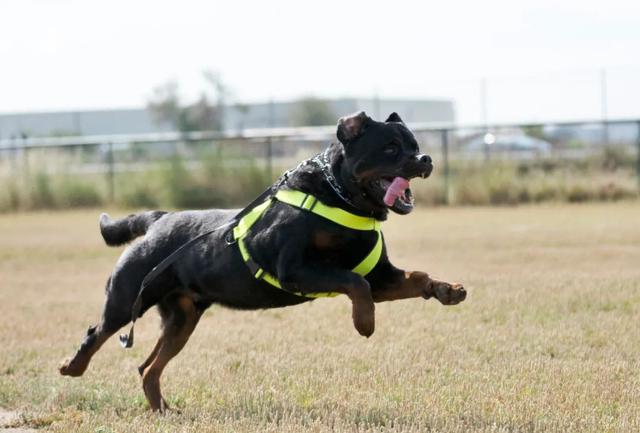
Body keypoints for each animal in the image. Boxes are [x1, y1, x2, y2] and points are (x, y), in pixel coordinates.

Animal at [58, 110, 464, 408]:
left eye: (415, 144)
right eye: (391, 148)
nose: (425, 158)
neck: (342, 199)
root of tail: (159, 219)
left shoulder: (382, 278)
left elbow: (412, 277)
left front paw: (447, 289)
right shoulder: (294, 269)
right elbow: (355, 282)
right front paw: (364, 322)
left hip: (182, 318)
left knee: (148, 367)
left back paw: (162, 410)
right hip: (127, 297)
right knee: (97, 332)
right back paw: (72, 366)